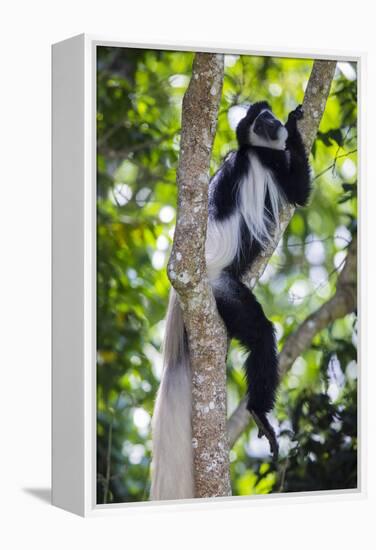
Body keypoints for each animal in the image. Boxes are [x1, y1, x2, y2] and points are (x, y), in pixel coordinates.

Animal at [150, 101, 312, 502]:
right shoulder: (272, 165)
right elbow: (299, 192)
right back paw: (257, 411)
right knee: (261, 336)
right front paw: (295, 125)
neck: (250, 152)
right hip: (222, 291)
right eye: (262, 123)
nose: (273, 123)